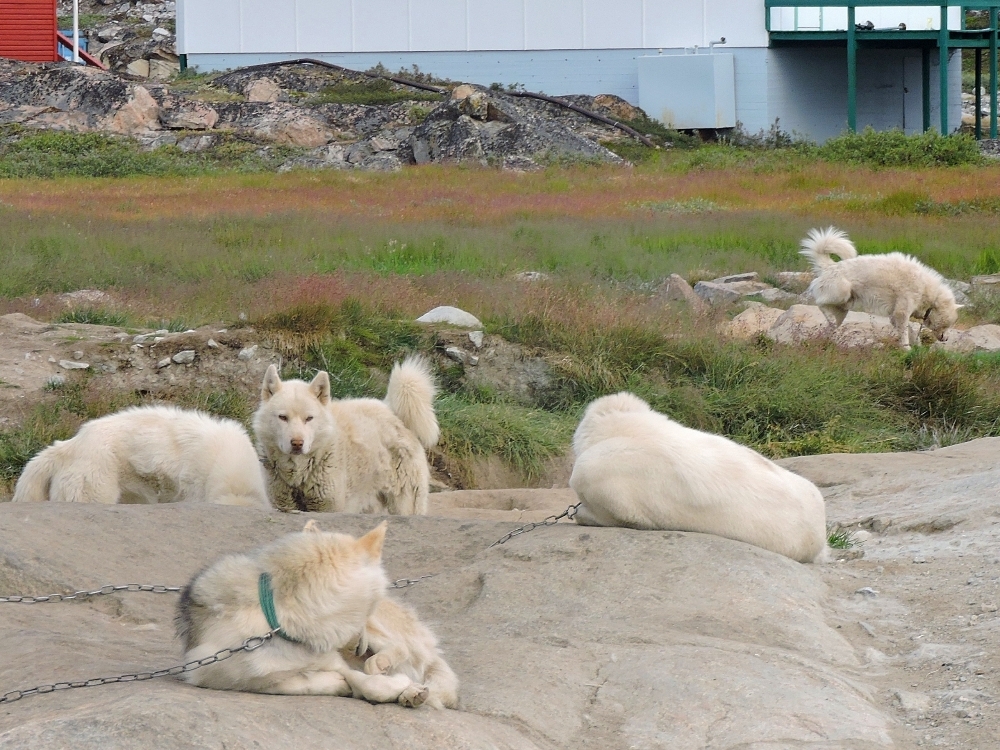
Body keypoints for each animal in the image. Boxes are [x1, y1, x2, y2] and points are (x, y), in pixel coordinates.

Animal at [254, 358, 438, 516]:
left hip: (406, 504)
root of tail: (393, 412)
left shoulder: (329, 508)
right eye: (283, 417)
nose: (297, 443)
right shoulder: (283, 505)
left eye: (309, 418)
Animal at [796, 226, 960, 350]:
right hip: (842, 293)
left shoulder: (896, 316)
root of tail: (829, 266)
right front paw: (907, 350)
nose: (946, 339)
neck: (928, 292)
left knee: (830, 324)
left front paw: (916, 347)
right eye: (950, 324)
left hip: (842, 309)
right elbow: (905, 335)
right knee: (819, 302)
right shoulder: (901, 313)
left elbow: (911, 332)